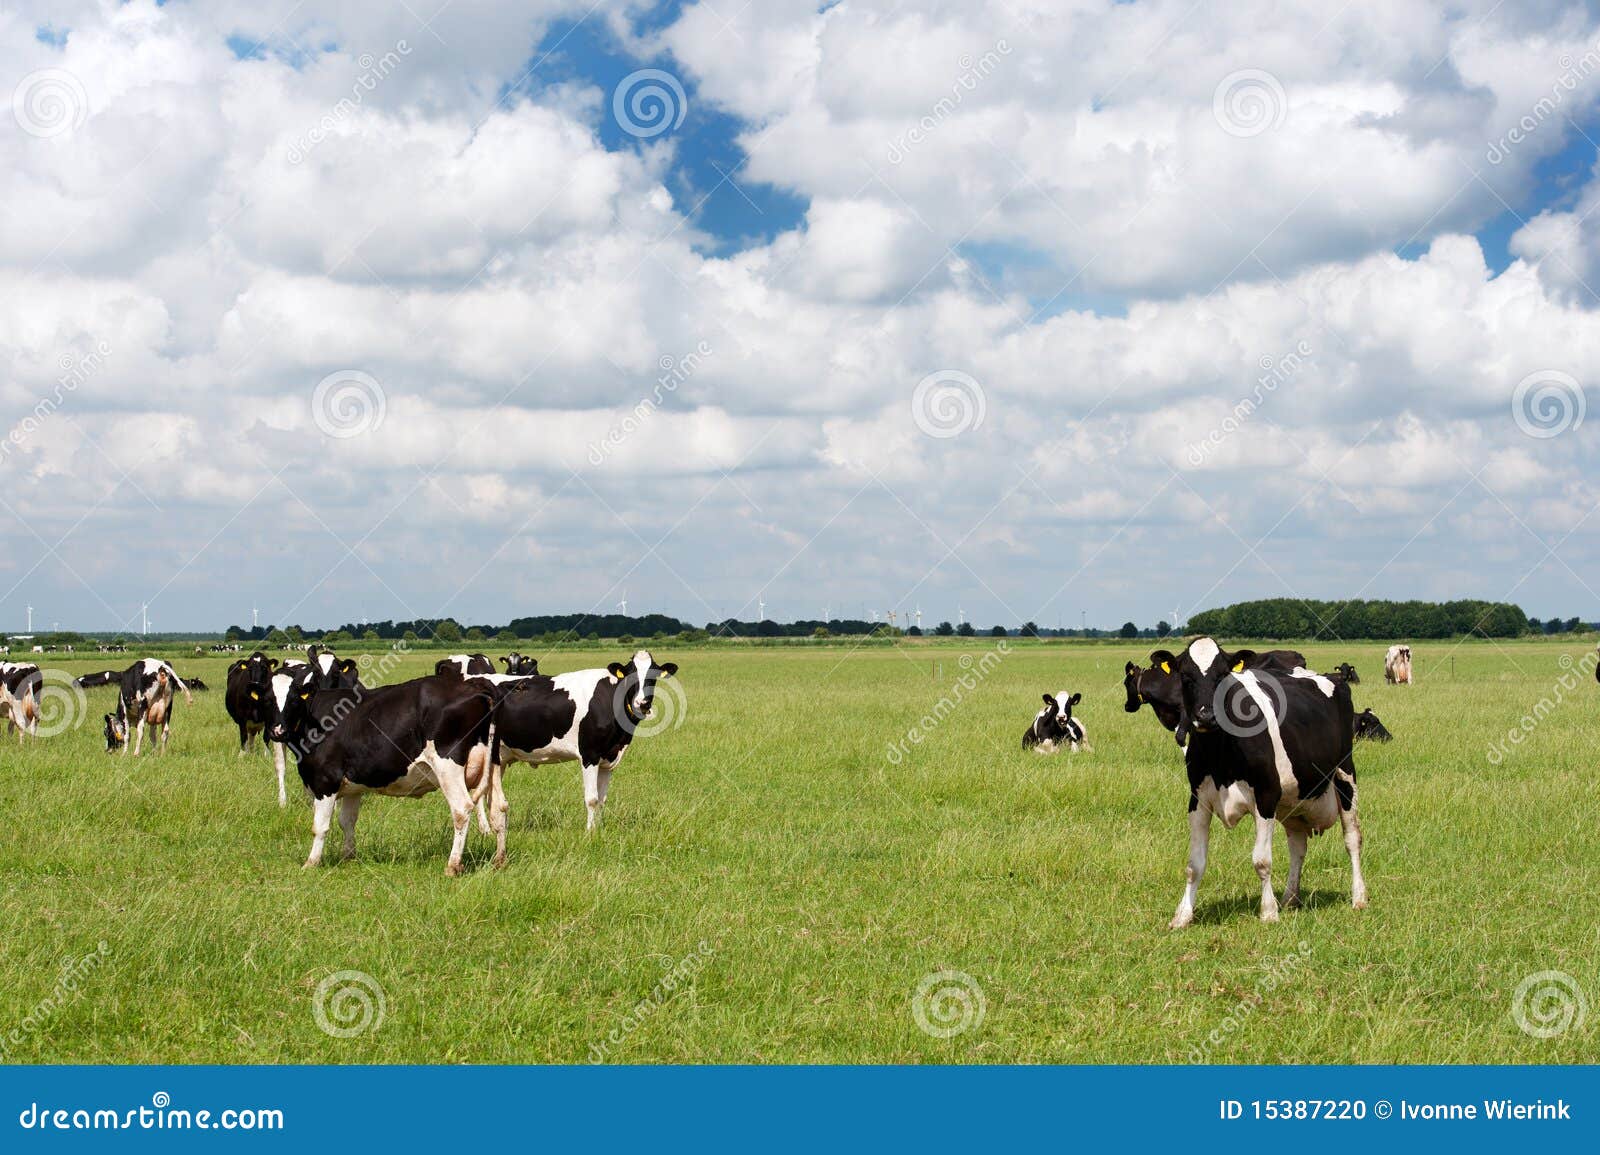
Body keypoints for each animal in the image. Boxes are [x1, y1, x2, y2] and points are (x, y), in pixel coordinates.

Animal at [270, 671, 524, 870]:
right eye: (268, 699)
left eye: (294, 700)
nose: (278, 730)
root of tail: (476, 684)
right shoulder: (353, 788)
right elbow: (347, 821)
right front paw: (349, 858)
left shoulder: (325, 782)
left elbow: (320, 827)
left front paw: (311, 863)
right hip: (494, 763)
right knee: (499, 808)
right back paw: (499, 860)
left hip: (448, 767)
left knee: (461, 809)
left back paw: (453, 865)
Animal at [467, 646, 681, 825]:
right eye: (630, 675)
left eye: (654, 676)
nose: (642, 703)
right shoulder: (590, 754)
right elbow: (592, 799)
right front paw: (590, 834)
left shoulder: (609, 757)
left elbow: (602, 799)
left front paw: (598, 830)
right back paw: (486, 830)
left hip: (500, 756)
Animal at [1158, 633, 1369, 921]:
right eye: (1185, 677)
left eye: (1222, 675)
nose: (1206, 716)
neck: (1220, 753)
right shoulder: (1198, 799)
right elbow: (1194, 864)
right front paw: (1183, 915)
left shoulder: (1266, 795)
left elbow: (1261, 860)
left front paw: (1268, 912)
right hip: (1293, 801)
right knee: (1298, 846)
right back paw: (1290, 898)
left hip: (1345, 774)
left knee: (1352, 839)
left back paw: (1358, 897)